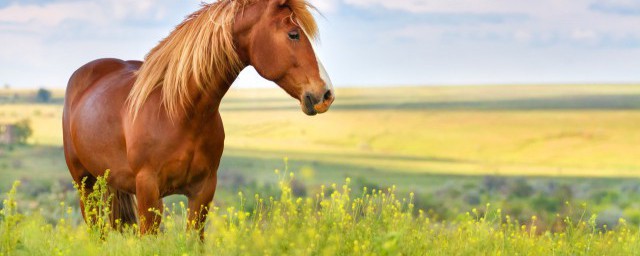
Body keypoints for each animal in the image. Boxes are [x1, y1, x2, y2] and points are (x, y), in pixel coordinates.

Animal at [61, 0, 336, 237]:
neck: (179, 112)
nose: (326, 94)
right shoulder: (148, 191)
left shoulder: (203, 192)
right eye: (293, 34)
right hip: (85, 185)